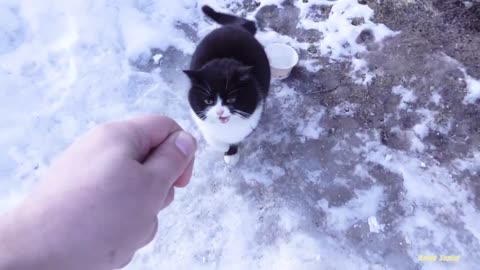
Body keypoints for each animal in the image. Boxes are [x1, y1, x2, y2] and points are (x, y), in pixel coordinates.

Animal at [184, 5, 270, 165]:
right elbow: (213, 138)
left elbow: (237, 137)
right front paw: (223, 147)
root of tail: (236, 27)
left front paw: (231, 153)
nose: (219, 112)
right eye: (208, 101)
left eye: (231, 99)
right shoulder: (200, 116)